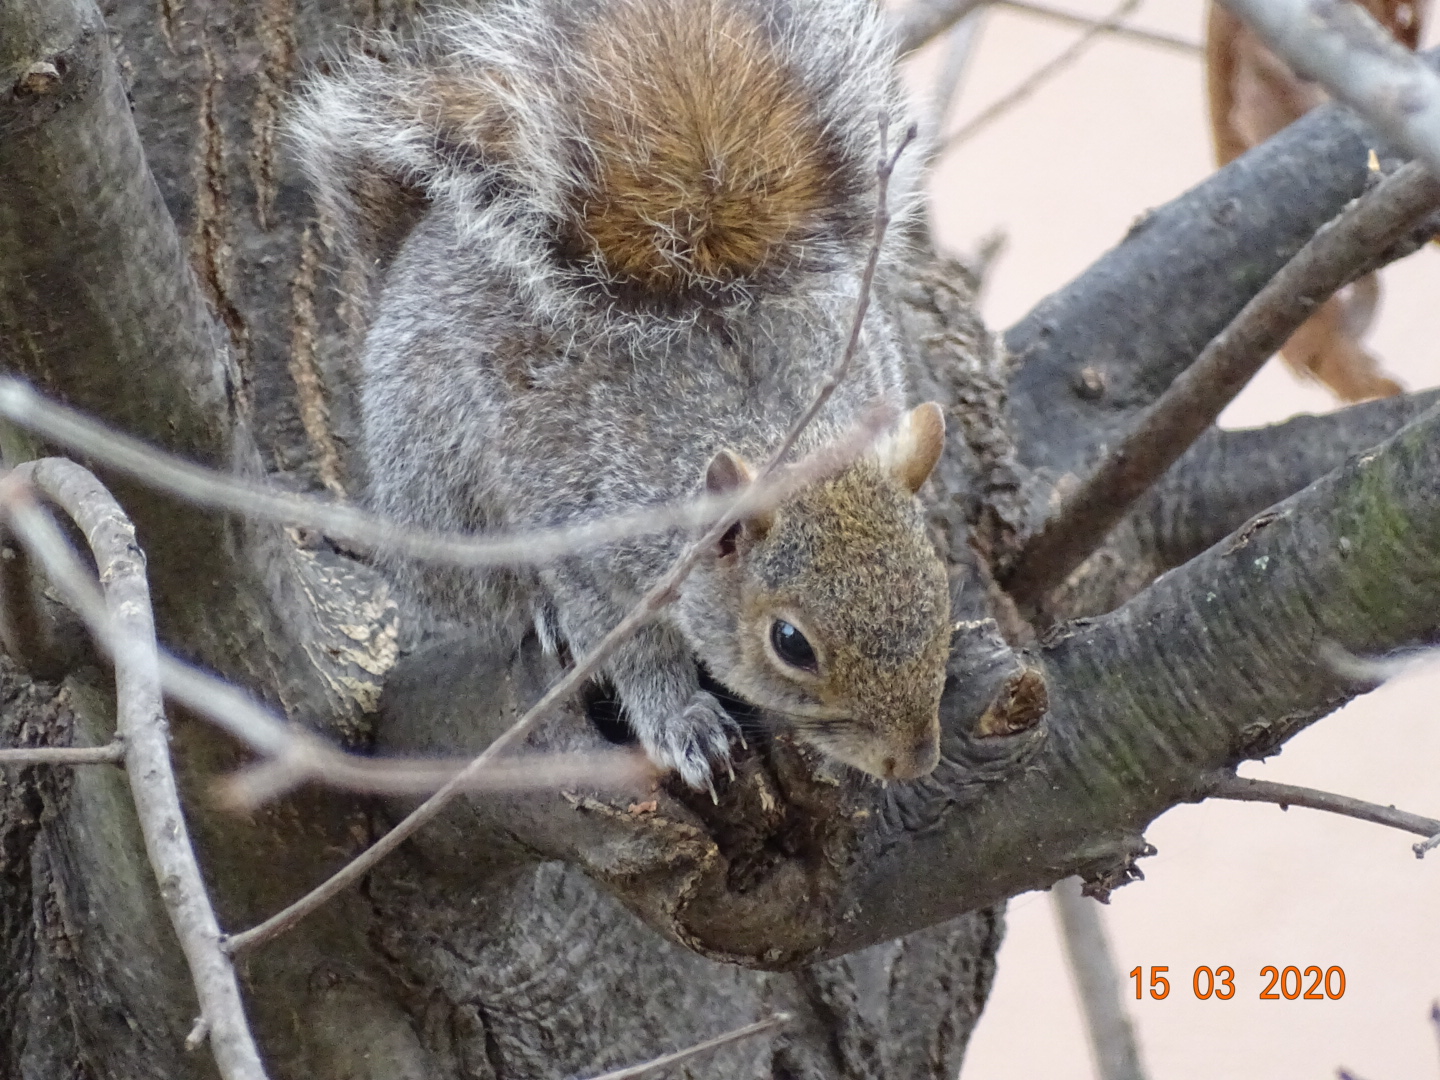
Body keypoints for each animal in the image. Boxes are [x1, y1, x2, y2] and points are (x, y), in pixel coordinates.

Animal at [289, 0, 954, 793]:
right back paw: (534, 611)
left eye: (941, 586)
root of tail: (408, 257)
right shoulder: (590, 547)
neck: (775, 432)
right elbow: (629, 650)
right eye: (791, 642)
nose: (913, 760)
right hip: (440, 490)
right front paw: (683, 726)